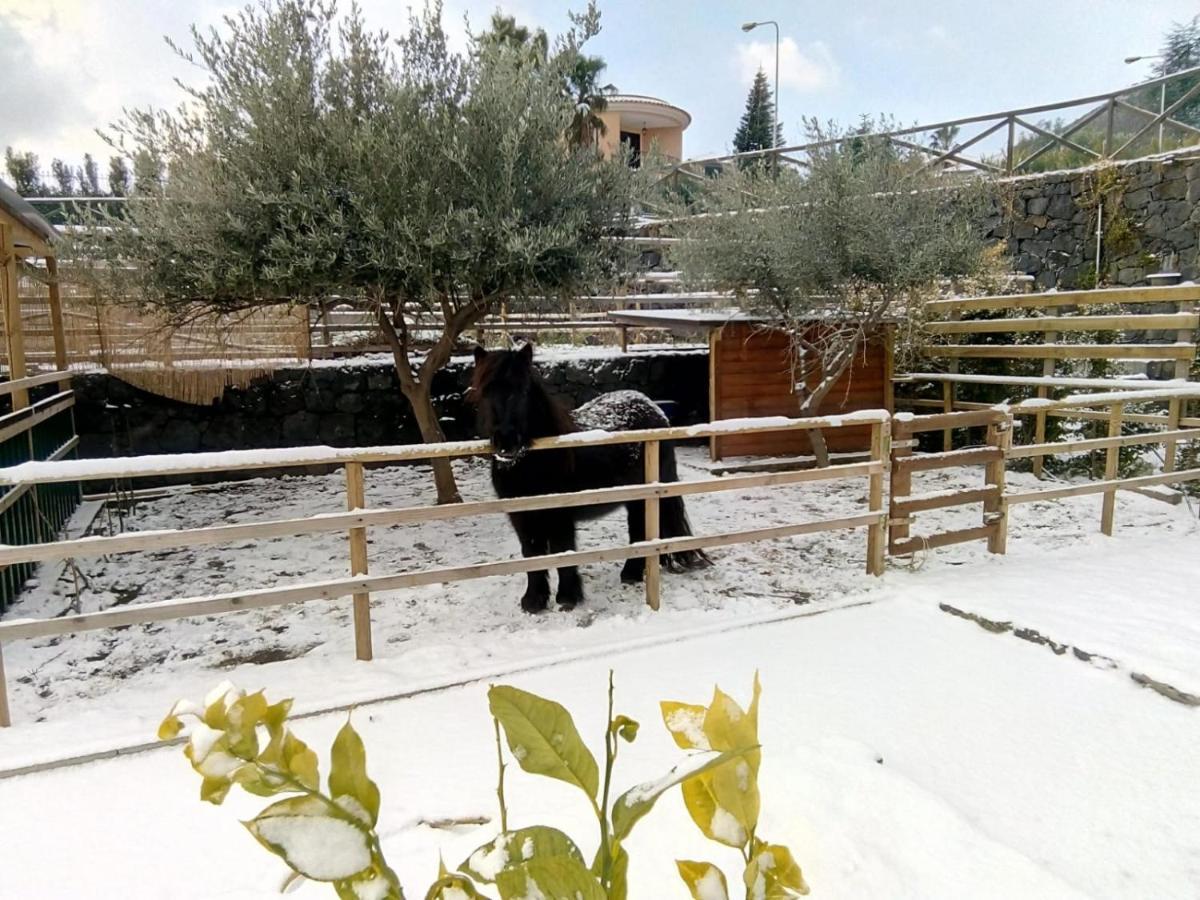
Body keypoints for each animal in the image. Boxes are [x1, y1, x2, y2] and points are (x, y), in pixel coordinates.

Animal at [470, 343, 710, 614]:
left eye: (522, 390)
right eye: (484, 391)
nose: (506, 442)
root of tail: (654, 408)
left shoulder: (560, 515)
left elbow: (563, 552)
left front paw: (567, 597)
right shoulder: (521, 516)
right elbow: (532, 555)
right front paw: (533, 601)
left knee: (639, 530)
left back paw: (631, 574)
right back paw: (632, 574)